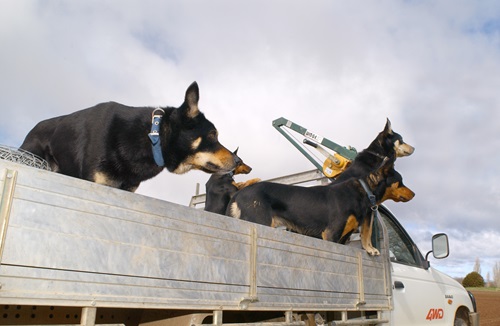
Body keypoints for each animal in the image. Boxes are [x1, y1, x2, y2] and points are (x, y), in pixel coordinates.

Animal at [227, 164, 414, 256]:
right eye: (401, 181)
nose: (414, 194)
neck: (364, 191)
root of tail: (238, 193)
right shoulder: (331, 234)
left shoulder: (346, 235)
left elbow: (365, 235)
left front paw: (369, 249)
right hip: (260, 222)